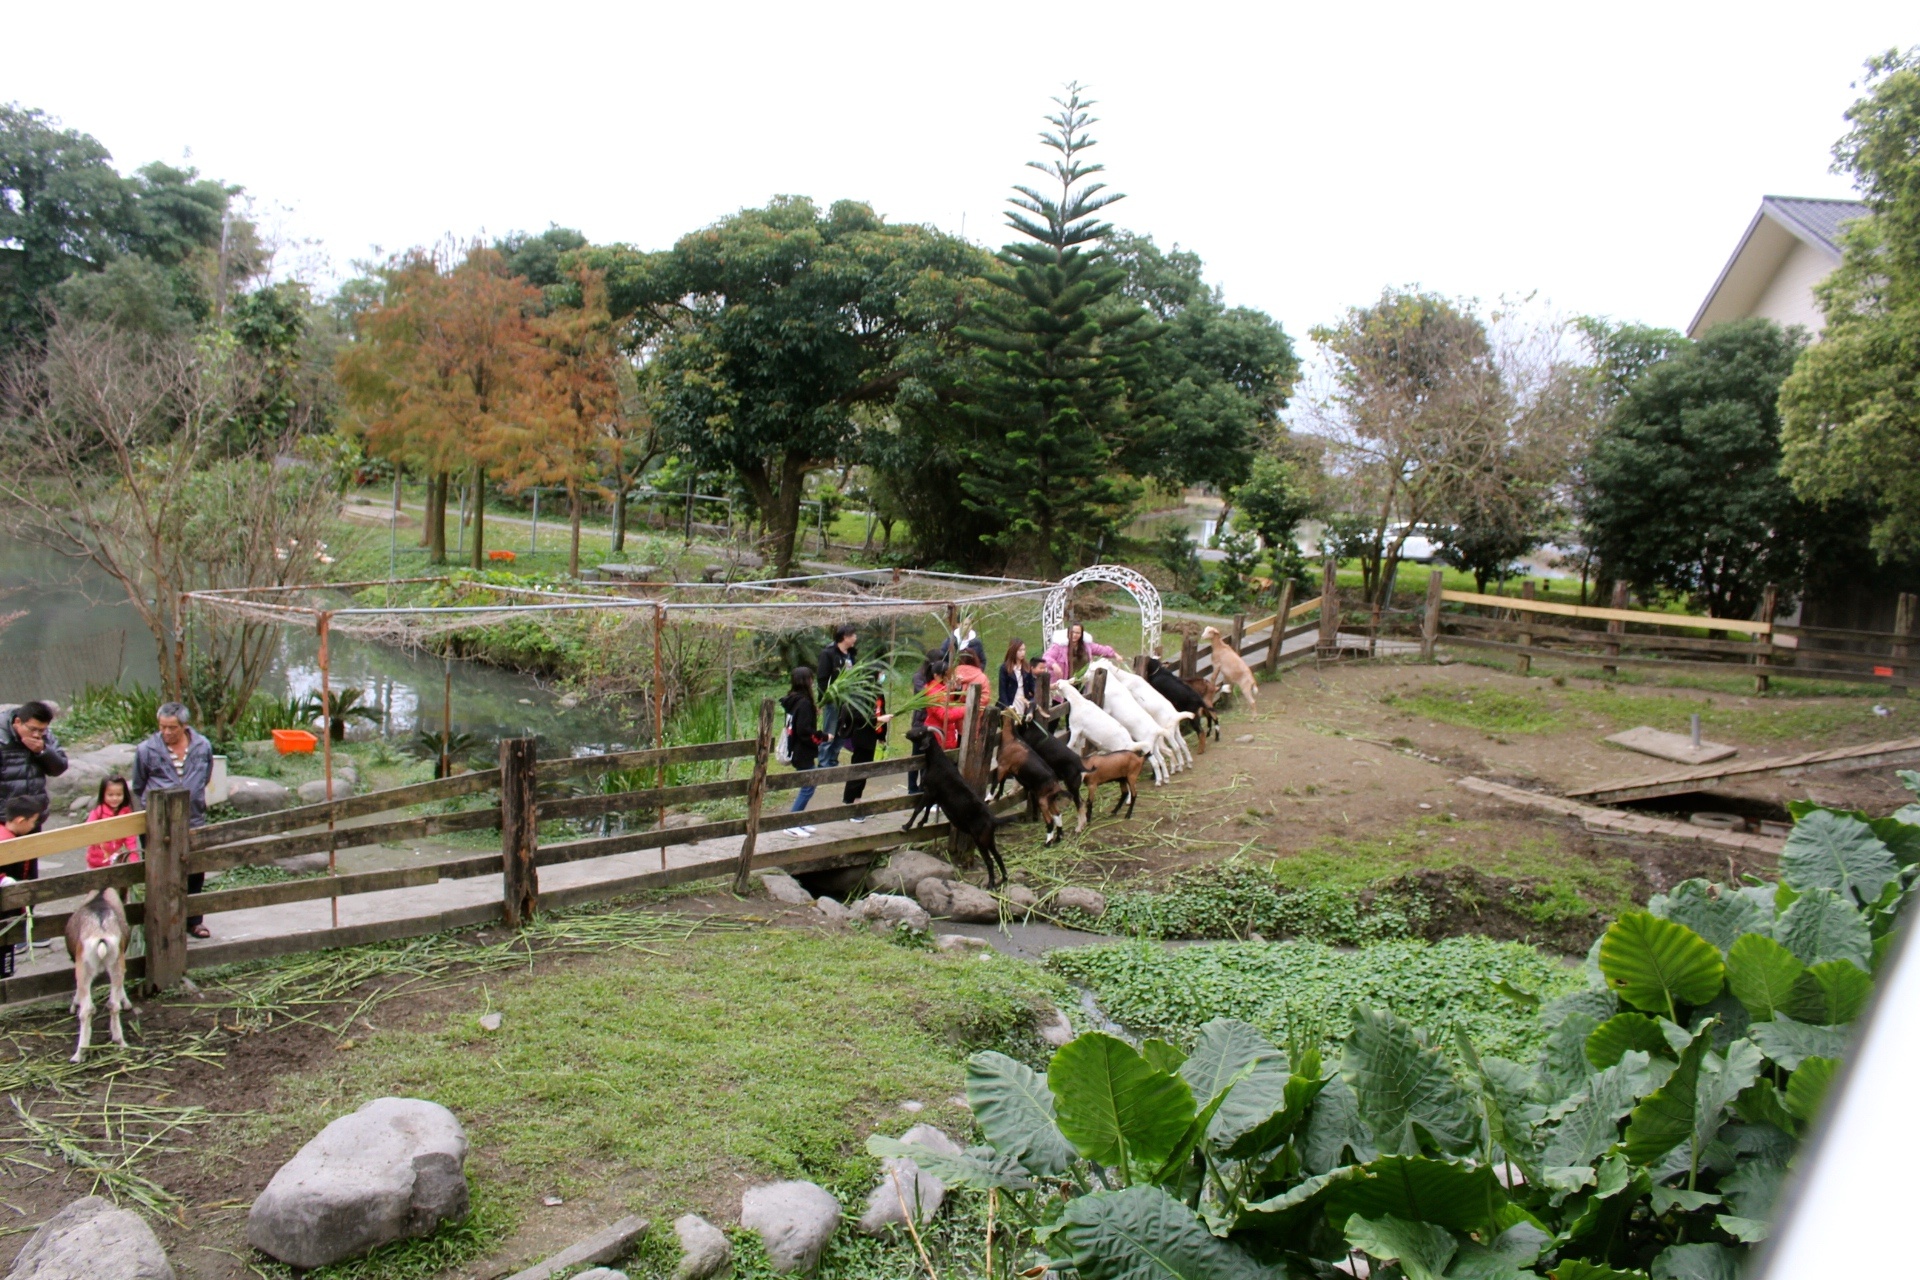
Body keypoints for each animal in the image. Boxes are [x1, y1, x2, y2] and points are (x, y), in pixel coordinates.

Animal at [63, 886, 132, 1066]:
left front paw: (74, 1004)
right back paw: (120, 1042)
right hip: (115, 961)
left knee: (87, 1009)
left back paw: (79, 1053)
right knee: (113, 1004)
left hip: (84, 966)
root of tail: (101, 934)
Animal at [902, 725, 1013, 886]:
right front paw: (921, 822)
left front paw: (907, 826)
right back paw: (1003, 878)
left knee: (989, 861)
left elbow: (919, 808)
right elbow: (928, 807)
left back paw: (991, 884)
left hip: (980, 839)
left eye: (922, 732)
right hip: (989, 839)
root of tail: (994, 820)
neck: (937, 762)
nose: (907, 733)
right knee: (997, 856)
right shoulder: (935, 794)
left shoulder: (930, 791)